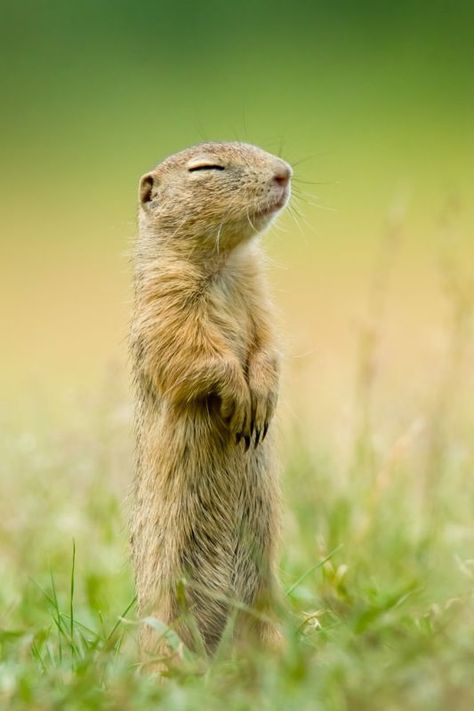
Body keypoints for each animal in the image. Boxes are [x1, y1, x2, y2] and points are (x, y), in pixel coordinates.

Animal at [131, 142, 292, 664]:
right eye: (207, 168)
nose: (284, 173)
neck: (224, 263)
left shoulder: (259, 296)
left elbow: (268, 345)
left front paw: (262, 395)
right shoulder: (163, 303)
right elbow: (192, 353)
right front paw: (239, 396)